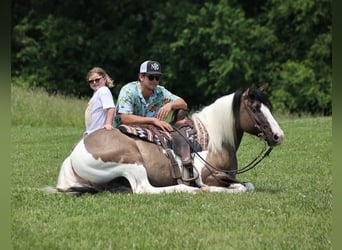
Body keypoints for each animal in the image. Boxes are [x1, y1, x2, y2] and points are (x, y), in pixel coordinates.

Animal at [51, 87, 284, 194]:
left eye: (268, 106)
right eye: (256, 108)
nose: (278, 136)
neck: (215, 141)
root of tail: (73, 155)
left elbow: (248, 185)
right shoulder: (207, 177)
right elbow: (237, 188)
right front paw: (206, 190)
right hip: (132, 161)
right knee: (144, 189)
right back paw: (186, 189)